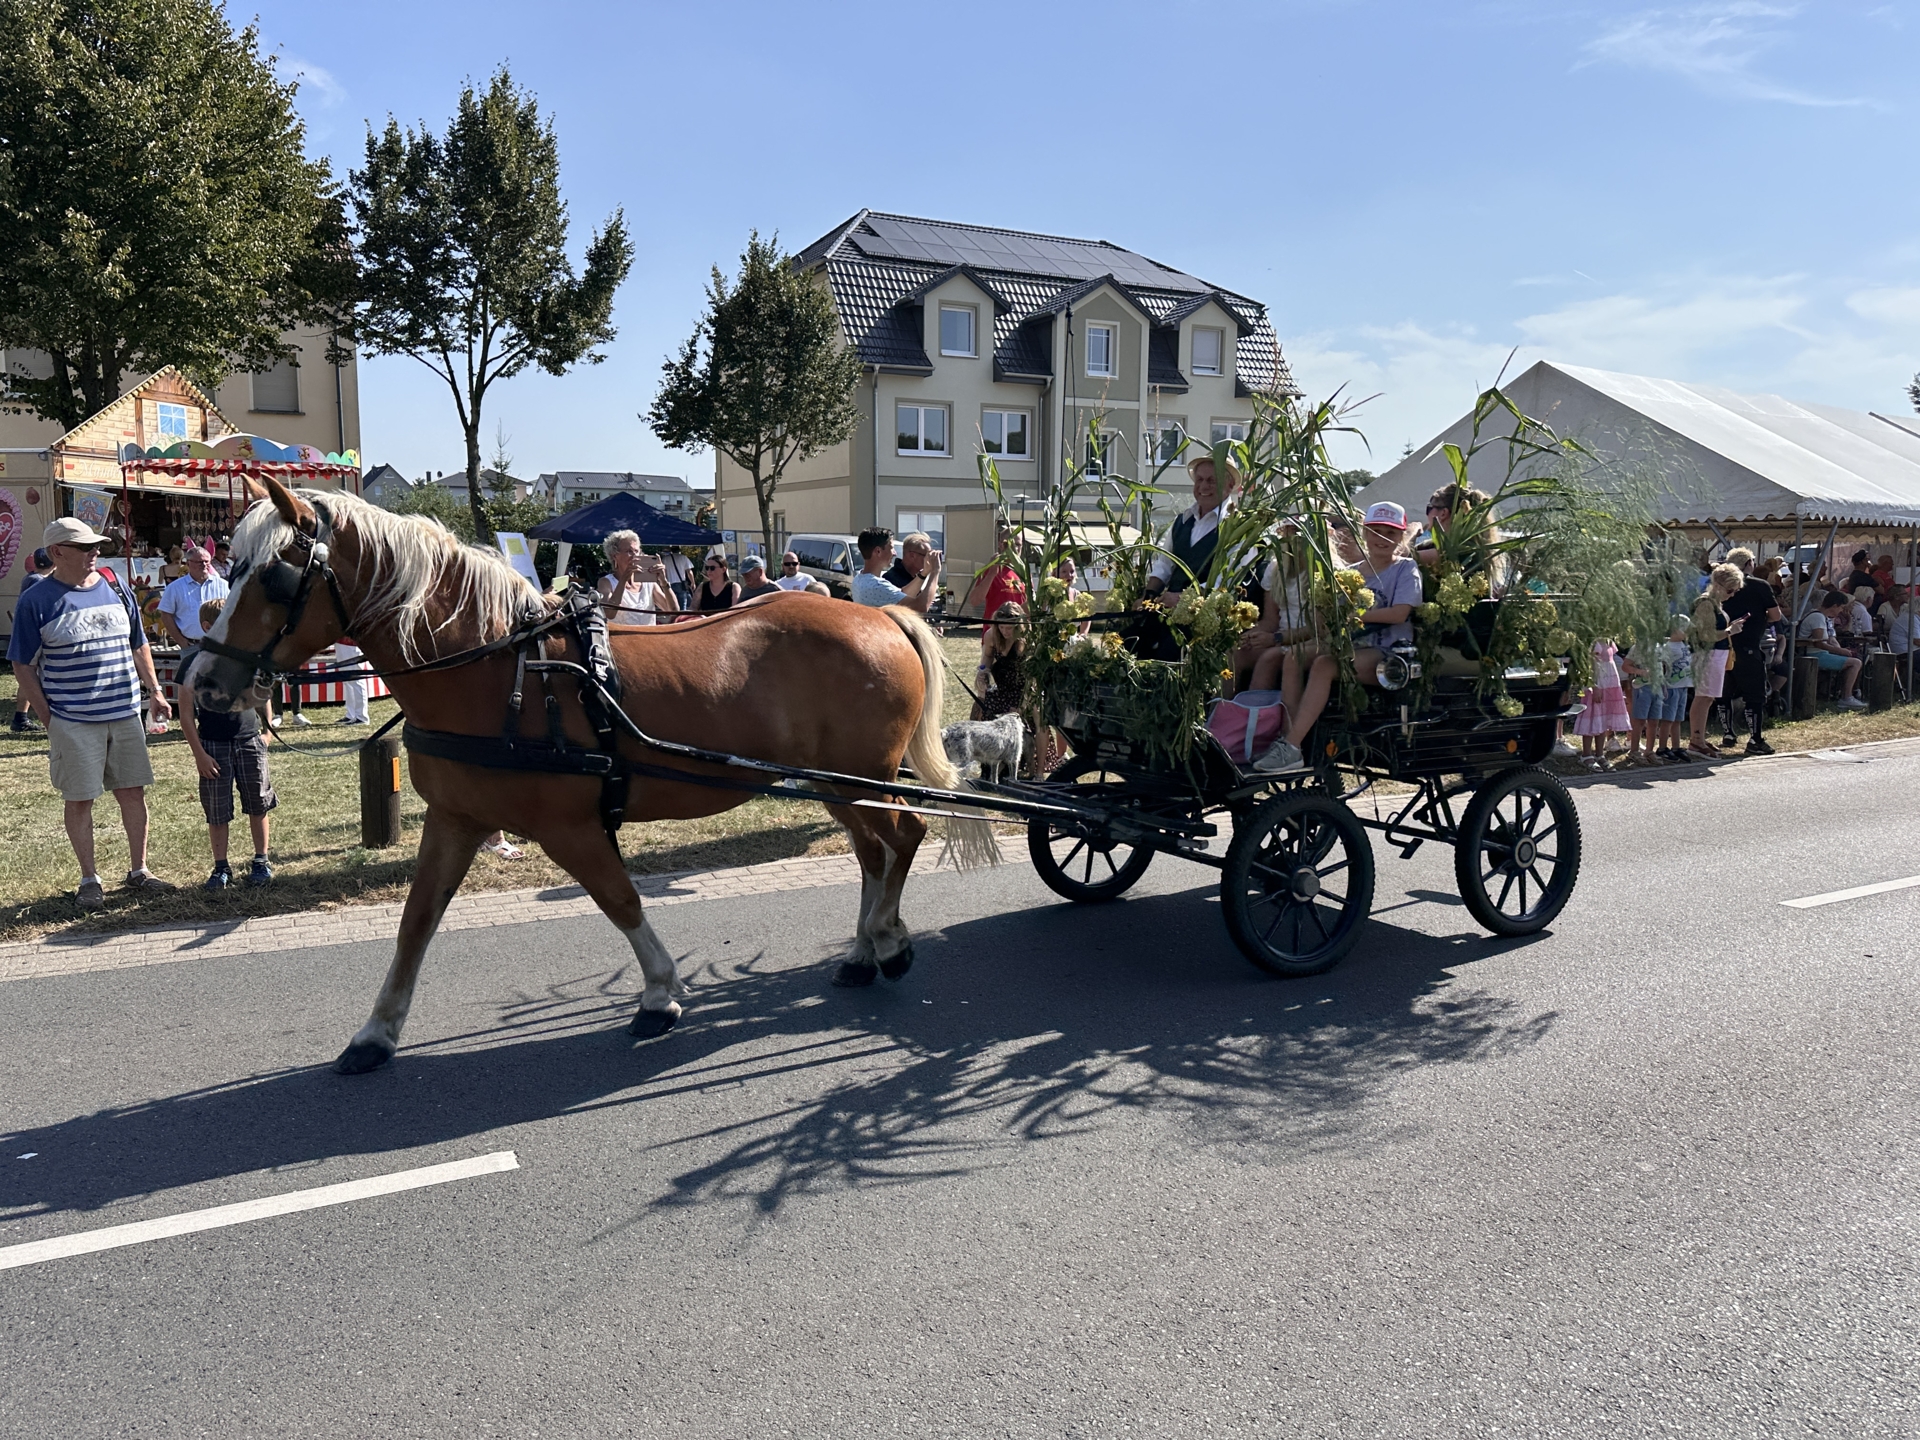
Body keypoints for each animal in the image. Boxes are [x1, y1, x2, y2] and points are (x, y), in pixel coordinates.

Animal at [185, 480, 998, 1075]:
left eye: (275, 577)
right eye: (231, 568)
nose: (202, 682)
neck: (503, 672)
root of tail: (884, 616)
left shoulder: (569, 828)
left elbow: (620, 901)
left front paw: (661, 995)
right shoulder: (456, 821)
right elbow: (416, 922)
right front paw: (376, 1032)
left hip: (859, 777)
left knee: (904, 836)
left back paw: (888, 940)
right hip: (832, 781)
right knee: (873, 852)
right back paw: (862, 951)